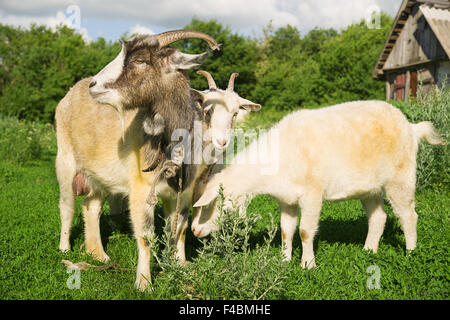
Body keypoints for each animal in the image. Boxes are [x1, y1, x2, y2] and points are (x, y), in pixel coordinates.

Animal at [54, 30, 220, 290]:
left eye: (140, 61)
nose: (94, 85)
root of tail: (70, 94)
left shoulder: (184, 190)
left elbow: (179, 229)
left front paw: (181, 268)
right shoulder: (141, 189)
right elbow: (146, 236)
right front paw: (144, 283)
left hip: (100, 177)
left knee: (91, 206)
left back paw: (98, 255)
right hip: (65, 160)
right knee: (67, 206)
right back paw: (65, 250)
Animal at [192, 99, 444, 268]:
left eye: (216, 205)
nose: (194, 230)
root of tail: (411, 127)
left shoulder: (312, 194)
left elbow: (305, 231)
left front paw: (307, 265)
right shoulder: (286, 199)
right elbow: (286, 231)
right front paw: (284, 261)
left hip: (400, 178)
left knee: (408, 215)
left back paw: (411, 253)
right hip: (369, 188)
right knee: (378, 217)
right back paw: (368, 251)